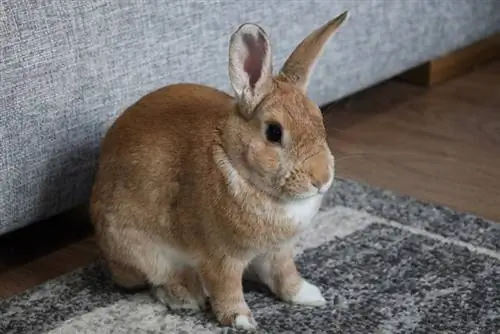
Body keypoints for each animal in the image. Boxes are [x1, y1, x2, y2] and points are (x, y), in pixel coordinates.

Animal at [90, 11, 348, 332]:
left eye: (319, 119)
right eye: (274, 132)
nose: (322, 179)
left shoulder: (279, 252)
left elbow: (286, 275)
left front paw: (309, 295)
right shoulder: (219, 258)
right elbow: (227, 288)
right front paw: (241, 319)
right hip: (140, 251)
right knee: (156, 280)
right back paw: (185, 297)